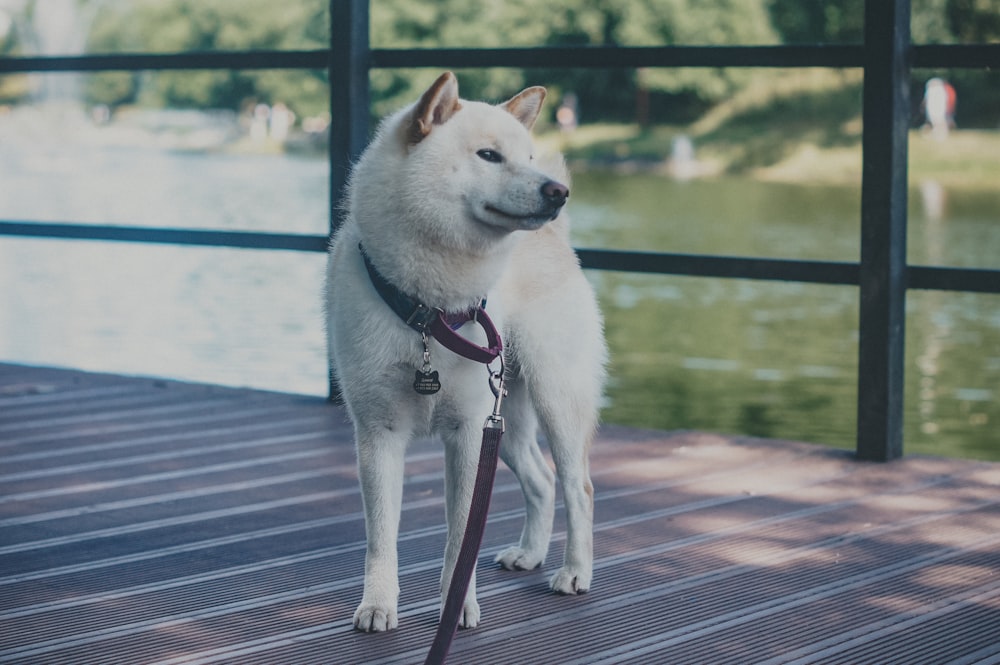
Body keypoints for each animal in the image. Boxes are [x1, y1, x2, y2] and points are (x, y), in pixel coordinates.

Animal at [330, 72, 608, 632]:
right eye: (489, 155)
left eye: (528, 157)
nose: (557, 192)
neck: (428, 313)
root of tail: (556, 237)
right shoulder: (379, 434)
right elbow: (380, 535)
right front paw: (378, 603)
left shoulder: (466, 434)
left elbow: (461, 535)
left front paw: (457, 606)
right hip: (506, 422)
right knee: (542, 482)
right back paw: (529, 553)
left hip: (554, 401)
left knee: (577, 486)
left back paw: (574, 572)